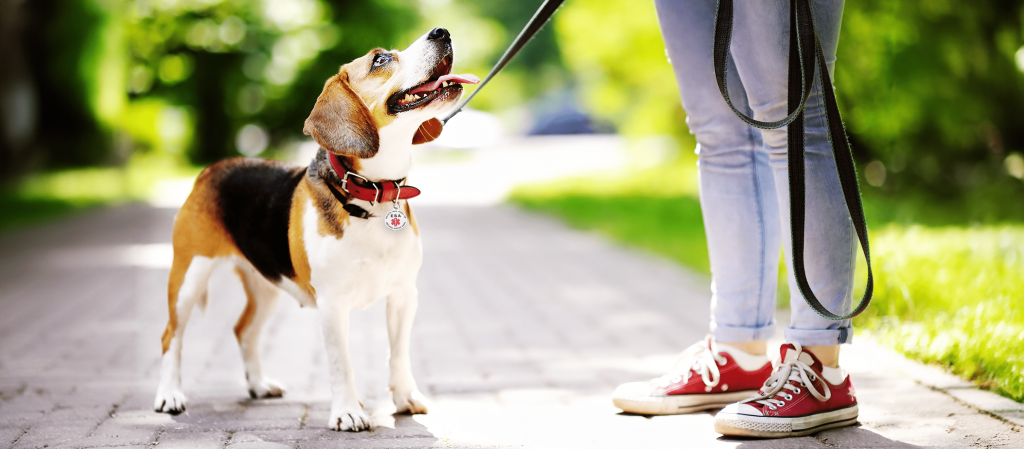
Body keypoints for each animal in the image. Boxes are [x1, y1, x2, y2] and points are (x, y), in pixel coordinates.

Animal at [154, 27, 479, 430]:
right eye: (380, 59)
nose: (441, 32)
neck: (372, 194)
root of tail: (212, 169)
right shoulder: (332, 304)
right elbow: (342, 363)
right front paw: (349, 412)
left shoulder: (404, 295)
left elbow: (398, 353)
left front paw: (405, 398)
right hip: (188, 277)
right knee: (171, 336)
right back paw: (169, 395)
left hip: (266, 286)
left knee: (244, 331)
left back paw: (258, 385)